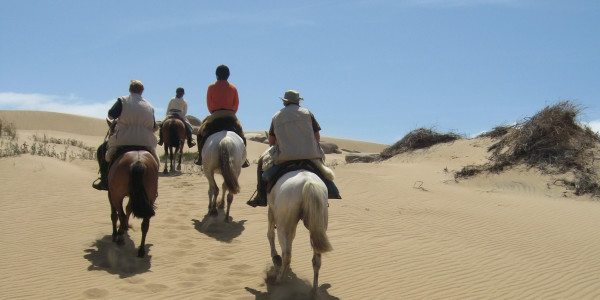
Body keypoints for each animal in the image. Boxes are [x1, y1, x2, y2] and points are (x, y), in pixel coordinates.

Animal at [105, 118, 158, 256]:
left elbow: (115, 214)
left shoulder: (111, 193)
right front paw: (124, 229)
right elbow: (129, 208)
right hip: (150, 197)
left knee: (121, 215)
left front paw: (116, 234)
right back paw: (141, 249)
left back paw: (119, 237)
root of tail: (138, 161)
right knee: (145, 223)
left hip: (117, 195)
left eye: (111, 131)